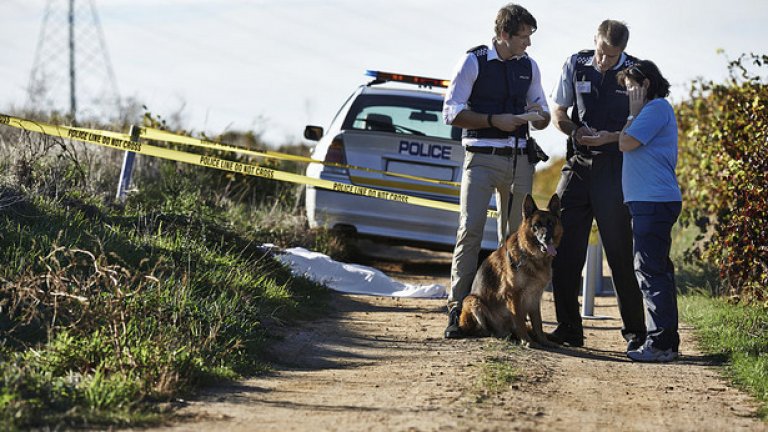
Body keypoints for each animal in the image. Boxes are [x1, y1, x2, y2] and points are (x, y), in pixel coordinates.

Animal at [460, 194, 560, 346]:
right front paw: (527, 341)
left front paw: (544, 341)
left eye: (550, 224)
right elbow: (519, 320)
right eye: (536, 226)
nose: (546, 238)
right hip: (472, 301)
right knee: (481, 329)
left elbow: (538, 323)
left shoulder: (535, 297)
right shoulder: (514, 294)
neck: (531, 256)